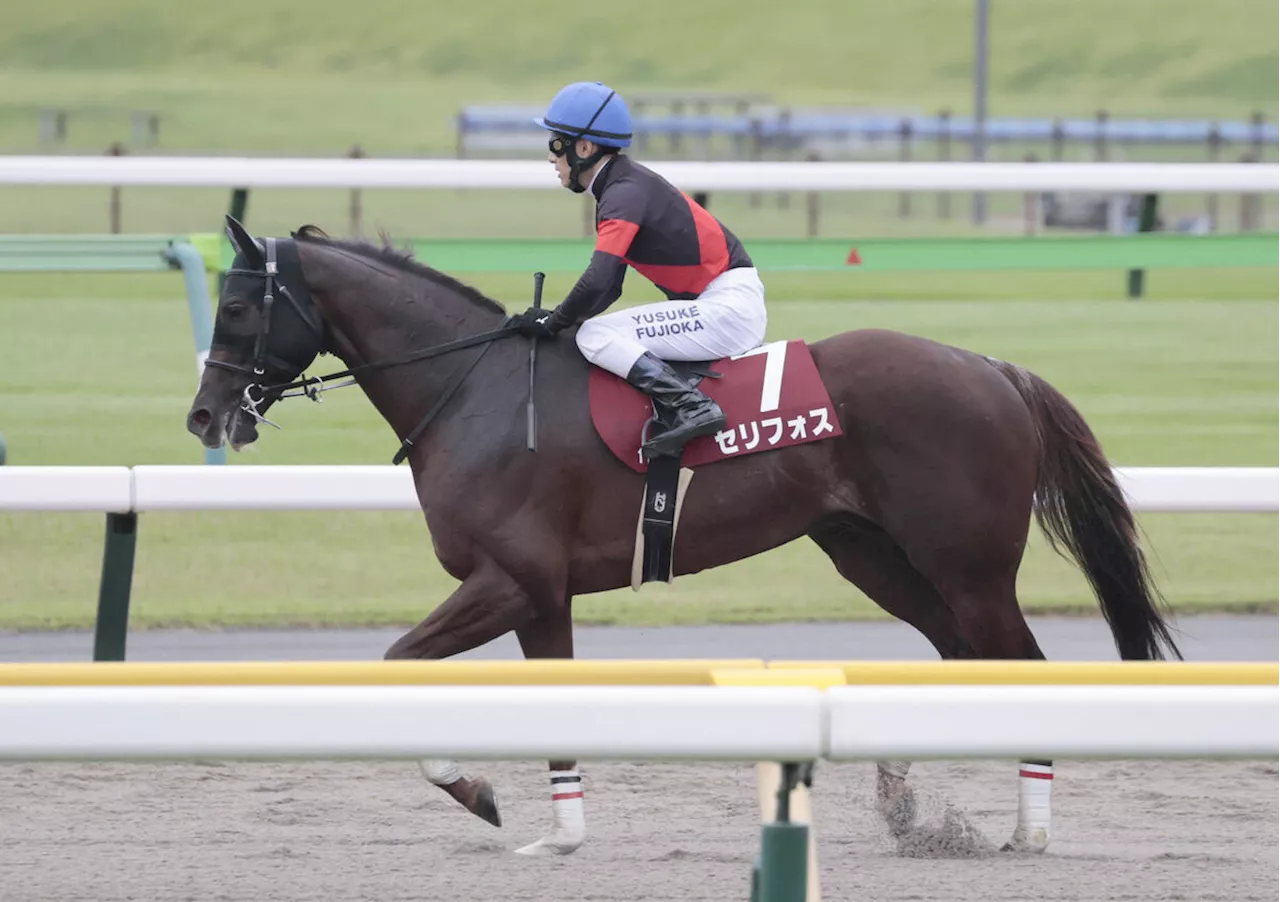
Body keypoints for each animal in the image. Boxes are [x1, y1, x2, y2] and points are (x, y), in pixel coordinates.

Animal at [183, 216, 1177, 859]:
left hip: (968, 567)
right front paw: (561, 834)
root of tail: (994, 369)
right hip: (875, 556)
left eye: (237, 310)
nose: (203, 416)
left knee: (1021, 664)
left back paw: (1027, 831)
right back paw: (913, 811)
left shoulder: (508, 580)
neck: (477, 393)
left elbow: (396, 664)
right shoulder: (541, 596)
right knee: (958, 660)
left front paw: (476, 793)